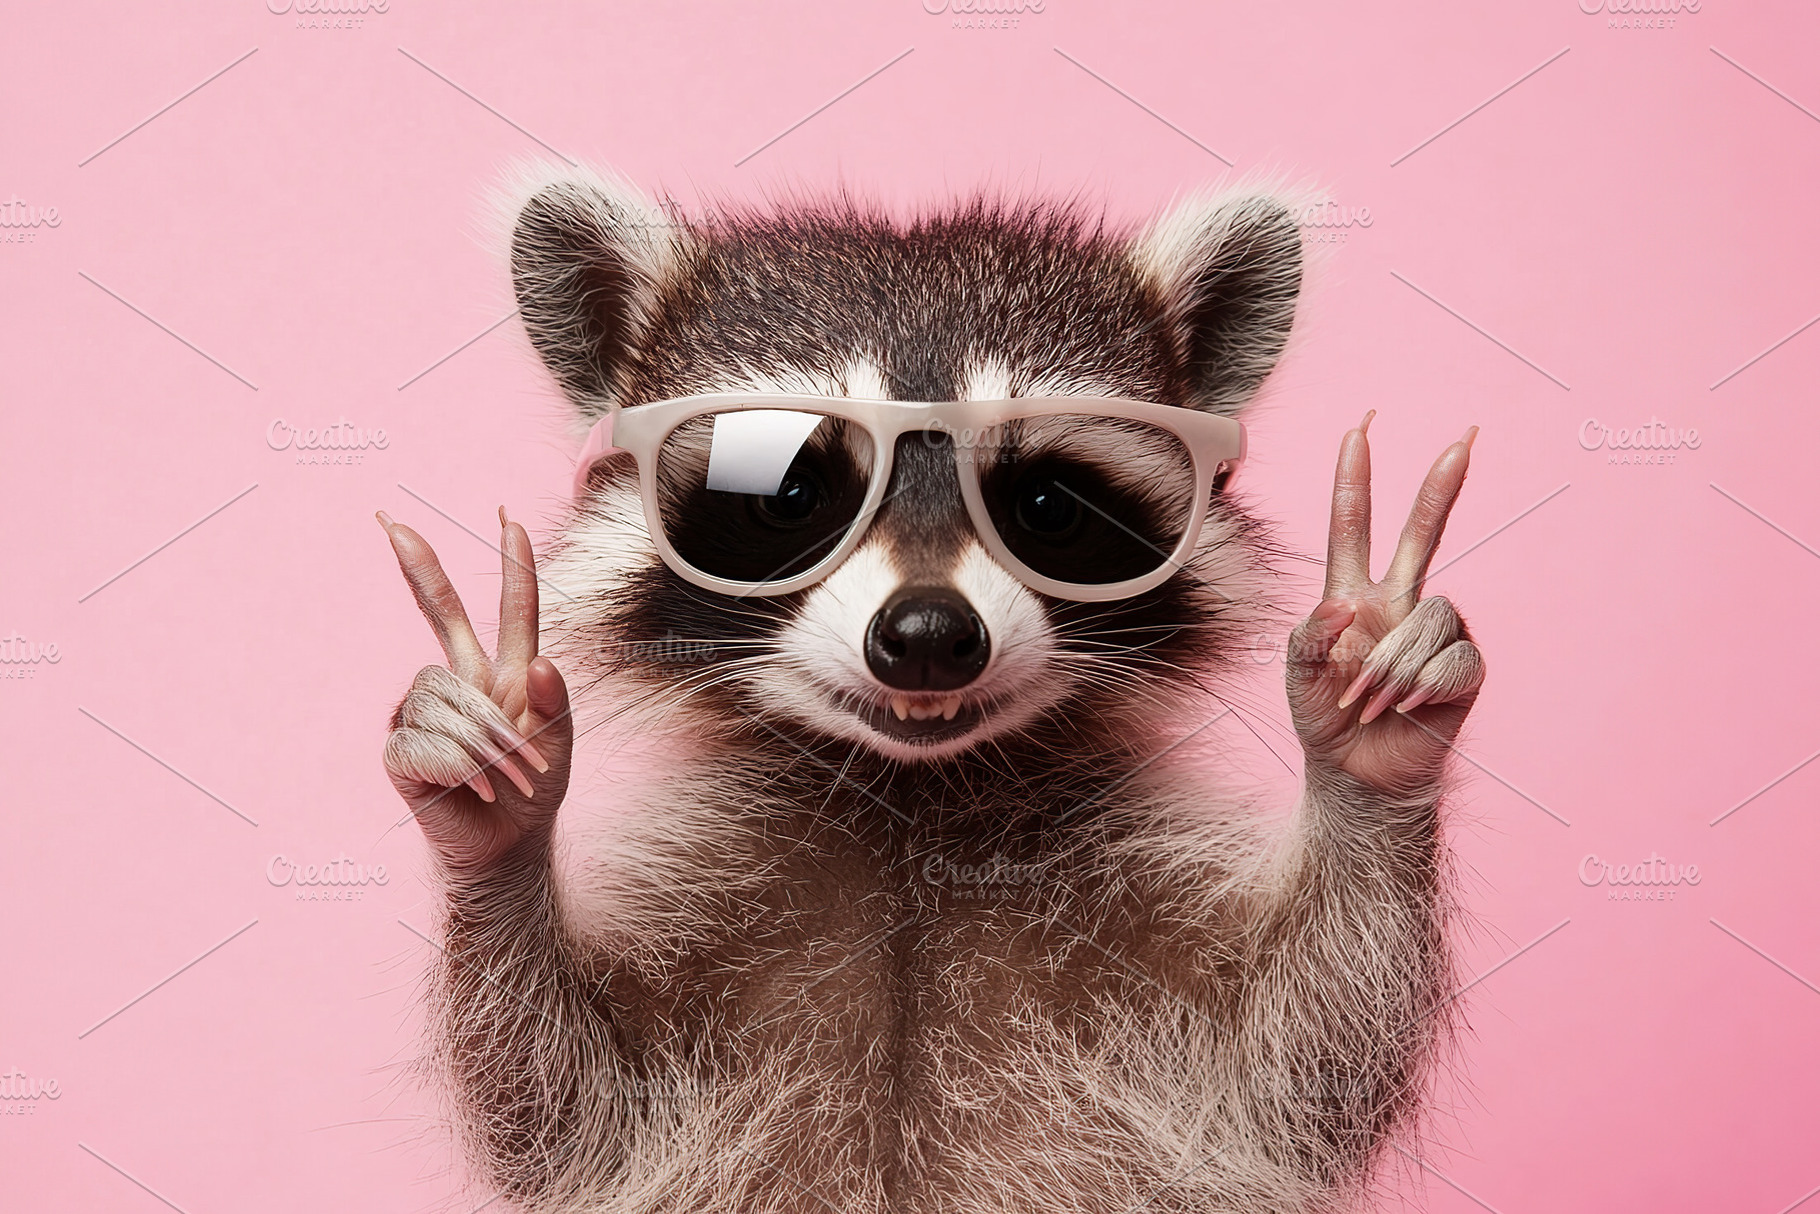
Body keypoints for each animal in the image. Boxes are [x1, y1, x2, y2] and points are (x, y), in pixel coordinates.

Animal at [379, 166, 1485, 1214]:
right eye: (788, 493)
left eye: (1046, 504)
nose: (925, 637)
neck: (908, 799)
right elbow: (566, 1103)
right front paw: (497, 811)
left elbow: (1297, 1063)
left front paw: (1364, 738)